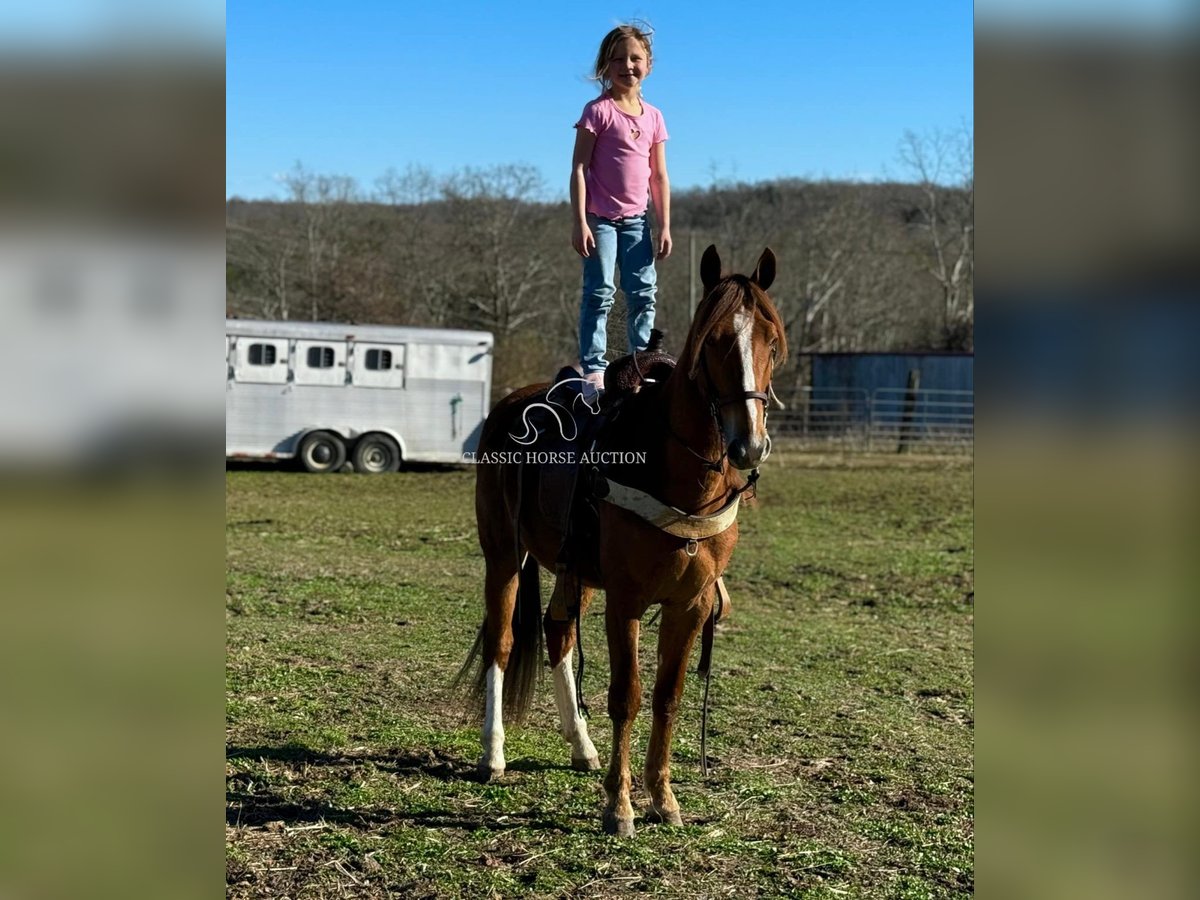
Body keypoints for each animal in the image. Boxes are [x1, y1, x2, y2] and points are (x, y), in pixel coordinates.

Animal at [458, 247, 787, 840]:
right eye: (713, 341)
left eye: (771, 341)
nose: (748, 444)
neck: (677, 475)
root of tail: (512, 404)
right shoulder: (626, 600)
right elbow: (627, 697)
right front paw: (620, 805)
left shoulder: (690, 604)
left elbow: (667, 697)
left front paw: (663, 797)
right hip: (503, 556)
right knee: (501, 641)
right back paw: (492, 754)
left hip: (577, 572)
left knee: (557, 633)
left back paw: (581, 747)